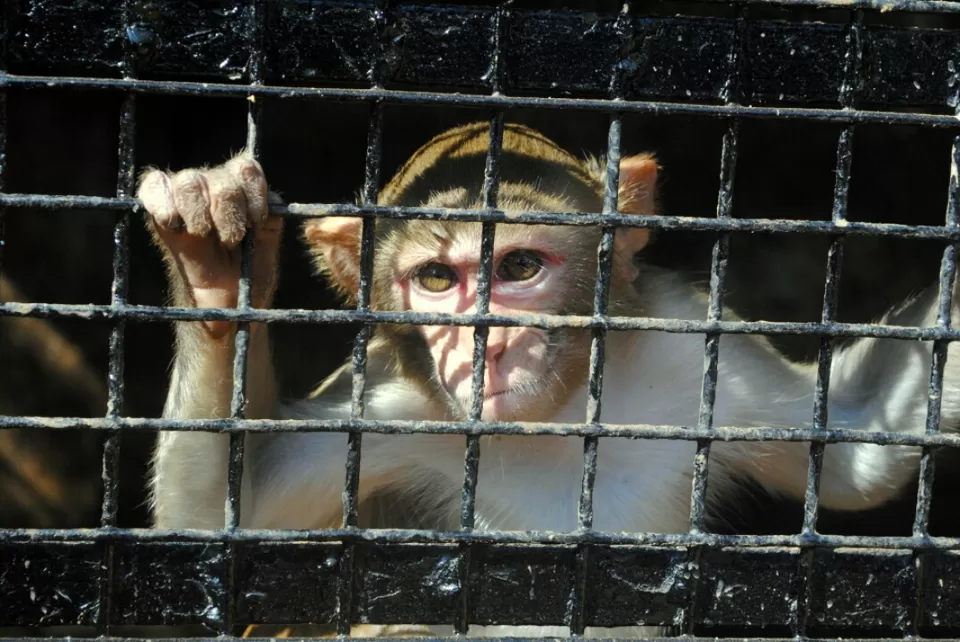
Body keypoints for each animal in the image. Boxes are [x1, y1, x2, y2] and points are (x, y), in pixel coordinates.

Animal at [139, 122, 956, 632]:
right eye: (436, 279)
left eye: (521, 266)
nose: (490, 345)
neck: (556, 419)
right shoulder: (387, 401)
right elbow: (211, 531)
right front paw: (209, 262)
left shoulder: (689, 342)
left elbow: (857, 449)